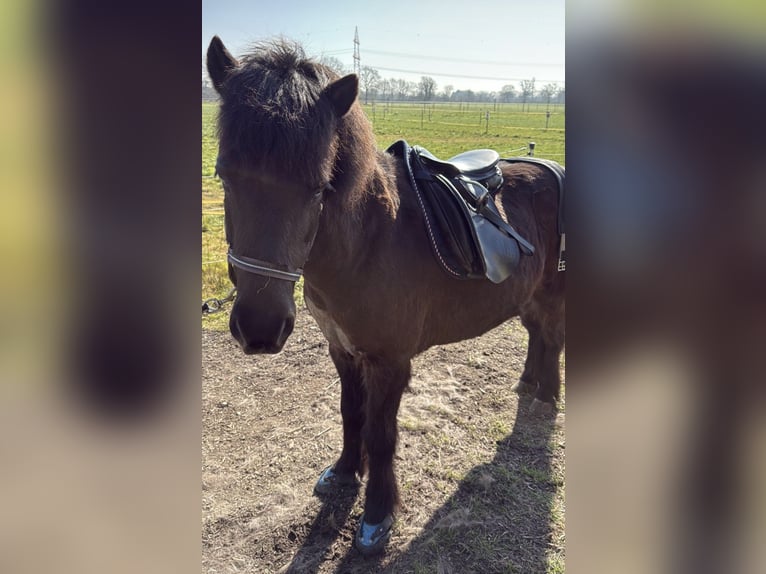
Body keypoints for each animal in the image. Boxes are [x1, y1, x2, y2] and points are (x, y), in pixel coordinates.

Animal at [206, 36, 565, 556]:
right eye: (224, 175)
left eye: (319, 188)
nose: (259, 328)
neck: (368, 243)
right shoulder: (342, 350)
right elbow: (350, 414)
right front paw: (342, 473)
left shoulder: (390, 362)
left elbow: (380, 435)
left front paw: (376, 516)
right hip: (528, 294)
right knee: (537, 334)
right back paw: (528, 384)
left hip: (553, 292)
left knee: (552, 338)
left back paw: (546, 398)